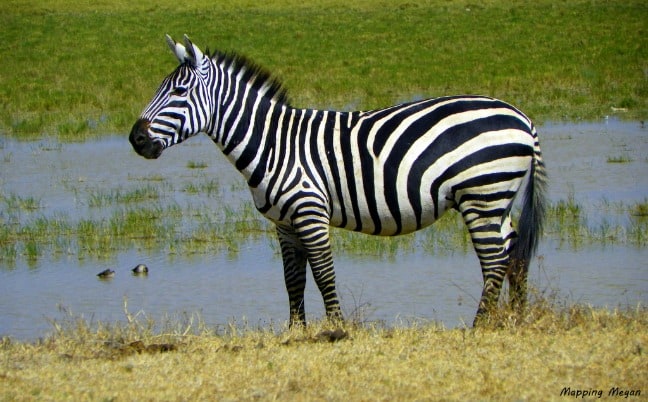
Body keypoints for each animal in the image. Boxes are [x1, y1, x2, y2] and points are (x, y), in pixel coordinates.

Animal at [128, 35, 548, 326]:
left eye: (179, 91)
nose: (135, 140)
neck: (274, 144)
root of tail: (522, 116)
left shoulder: (310, 212)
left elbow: (323, 274)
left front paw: (336, 329)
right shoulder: (284, 223)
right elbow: (293, 280)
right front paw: (296, 332)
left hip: (482, 195)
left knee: (495, 259)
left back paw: (480, 326)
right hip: (498, 199)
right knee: (513, 253)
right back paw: (515, 319)